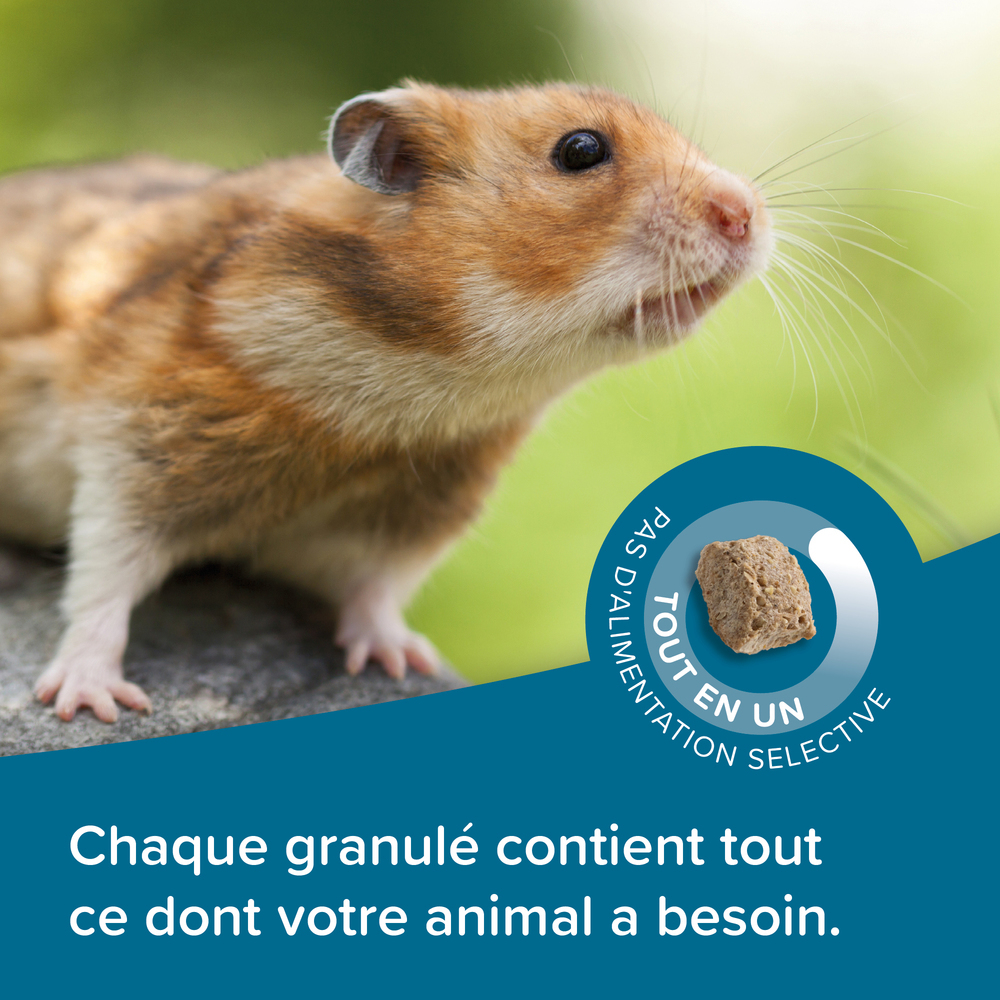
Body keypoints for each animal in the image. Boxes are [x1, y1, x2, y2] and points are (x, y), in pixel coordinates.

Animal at [0, 82, 771, 722]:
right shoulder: (139, 441)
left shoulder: (419, 506)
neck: (428, 388)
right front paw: (89, 704)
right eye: (580, 150)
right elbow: (104, 573)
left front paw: (402, 662)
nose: (747, 215)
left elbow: (376, 589)